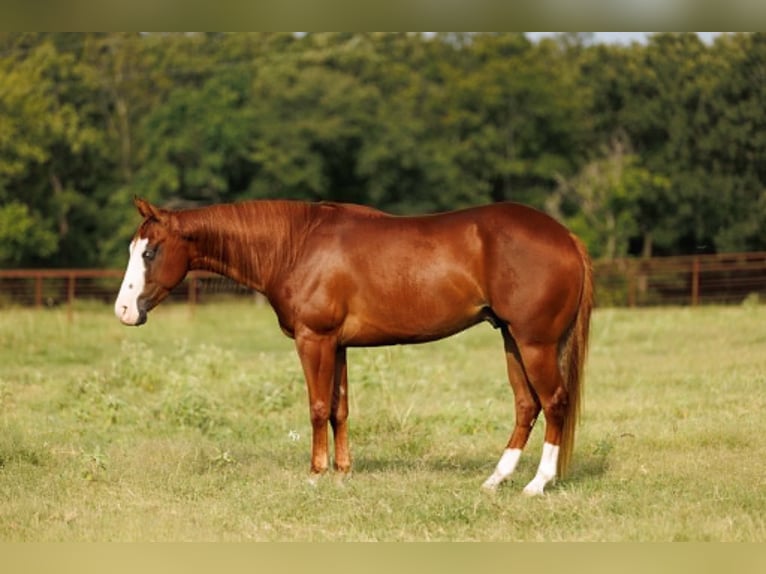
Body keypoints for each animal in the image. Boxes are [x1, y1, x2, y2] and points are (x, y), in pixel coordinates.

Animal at [114, 197, 593, 495]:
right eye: (134, 248)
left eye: (150, 252)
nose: (123, 309)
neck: (294, 246)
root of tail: (566, 237)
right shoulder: (338, 345)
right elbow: (339, 408)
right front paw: (343, 473)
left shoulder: (314, 339)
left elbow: (317, 408)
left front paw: (316, 474)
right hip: (511, 339)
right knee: (527, 405)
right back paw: (496, 479)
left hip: (535, 342)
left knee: (554, 401)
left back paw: (537, 484)